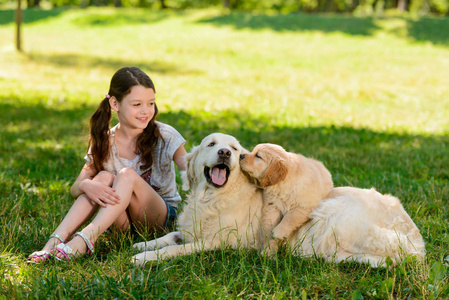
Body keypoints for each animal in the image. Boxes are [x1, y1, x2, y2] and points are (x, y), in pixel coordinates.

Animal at [130, 134, 262, 264]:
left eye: (234, 148)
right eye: (211, 144)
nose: (225, 152)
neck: (210, 197)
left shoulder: (213, 242)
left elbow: (174, 248)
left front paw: (144, 257)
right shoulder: (188, 230)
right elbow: (170, 235)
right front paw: (143, 244)